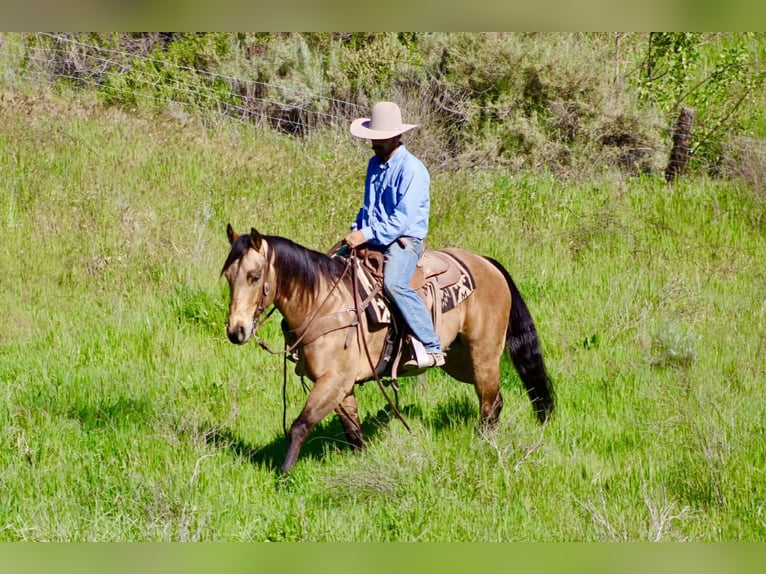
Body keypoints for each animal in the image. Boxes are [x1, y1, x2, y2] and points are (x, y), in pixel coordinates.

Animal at [221, 224, 554, 474]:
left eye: (254, 276)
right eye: (228, 277)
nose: (236, 331)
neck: (322, 301)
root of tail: (486, 263)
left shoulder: (333, 381)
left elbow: (300, 425)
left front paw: (284, 475)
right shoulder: (342, 386)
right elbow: (352, 430)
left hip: (484, 353)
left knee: (489, 402)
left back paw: (485, 445)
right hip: (460, 361)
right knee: (494, 399)